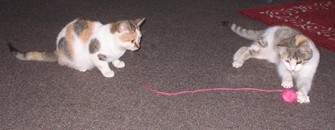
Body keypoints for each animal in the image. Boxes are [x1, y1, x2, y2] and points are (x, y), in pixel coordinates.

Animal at [8, 17, 146, 77]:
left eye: (140, 38)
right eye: (132, 40)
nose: (138, 46)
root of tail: (58, 50)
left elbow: (114, 59)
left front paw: (117, 63)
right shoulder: (94, 53)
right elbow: (103, 64)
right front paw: (108, 72)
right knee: (63, 63)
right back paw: (81, 67)